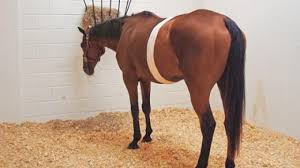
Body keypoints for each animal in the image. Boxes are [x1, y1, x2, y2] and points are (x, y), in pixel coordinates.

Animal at [77, 9, 246, 168]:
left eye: (82, 45)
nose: (86, 69)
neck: (125, 31)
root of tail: (222, 20)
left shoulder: (129, 78)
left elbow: (134, 108)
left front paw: (135, 140)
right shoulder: (145, 79)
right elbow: (146, 107)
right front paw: (147, 136)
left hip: (199, 91)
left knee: (208, 124)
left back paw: (201, 163)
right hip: (224, 86)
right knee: (229, 123)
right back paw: (229, 163)